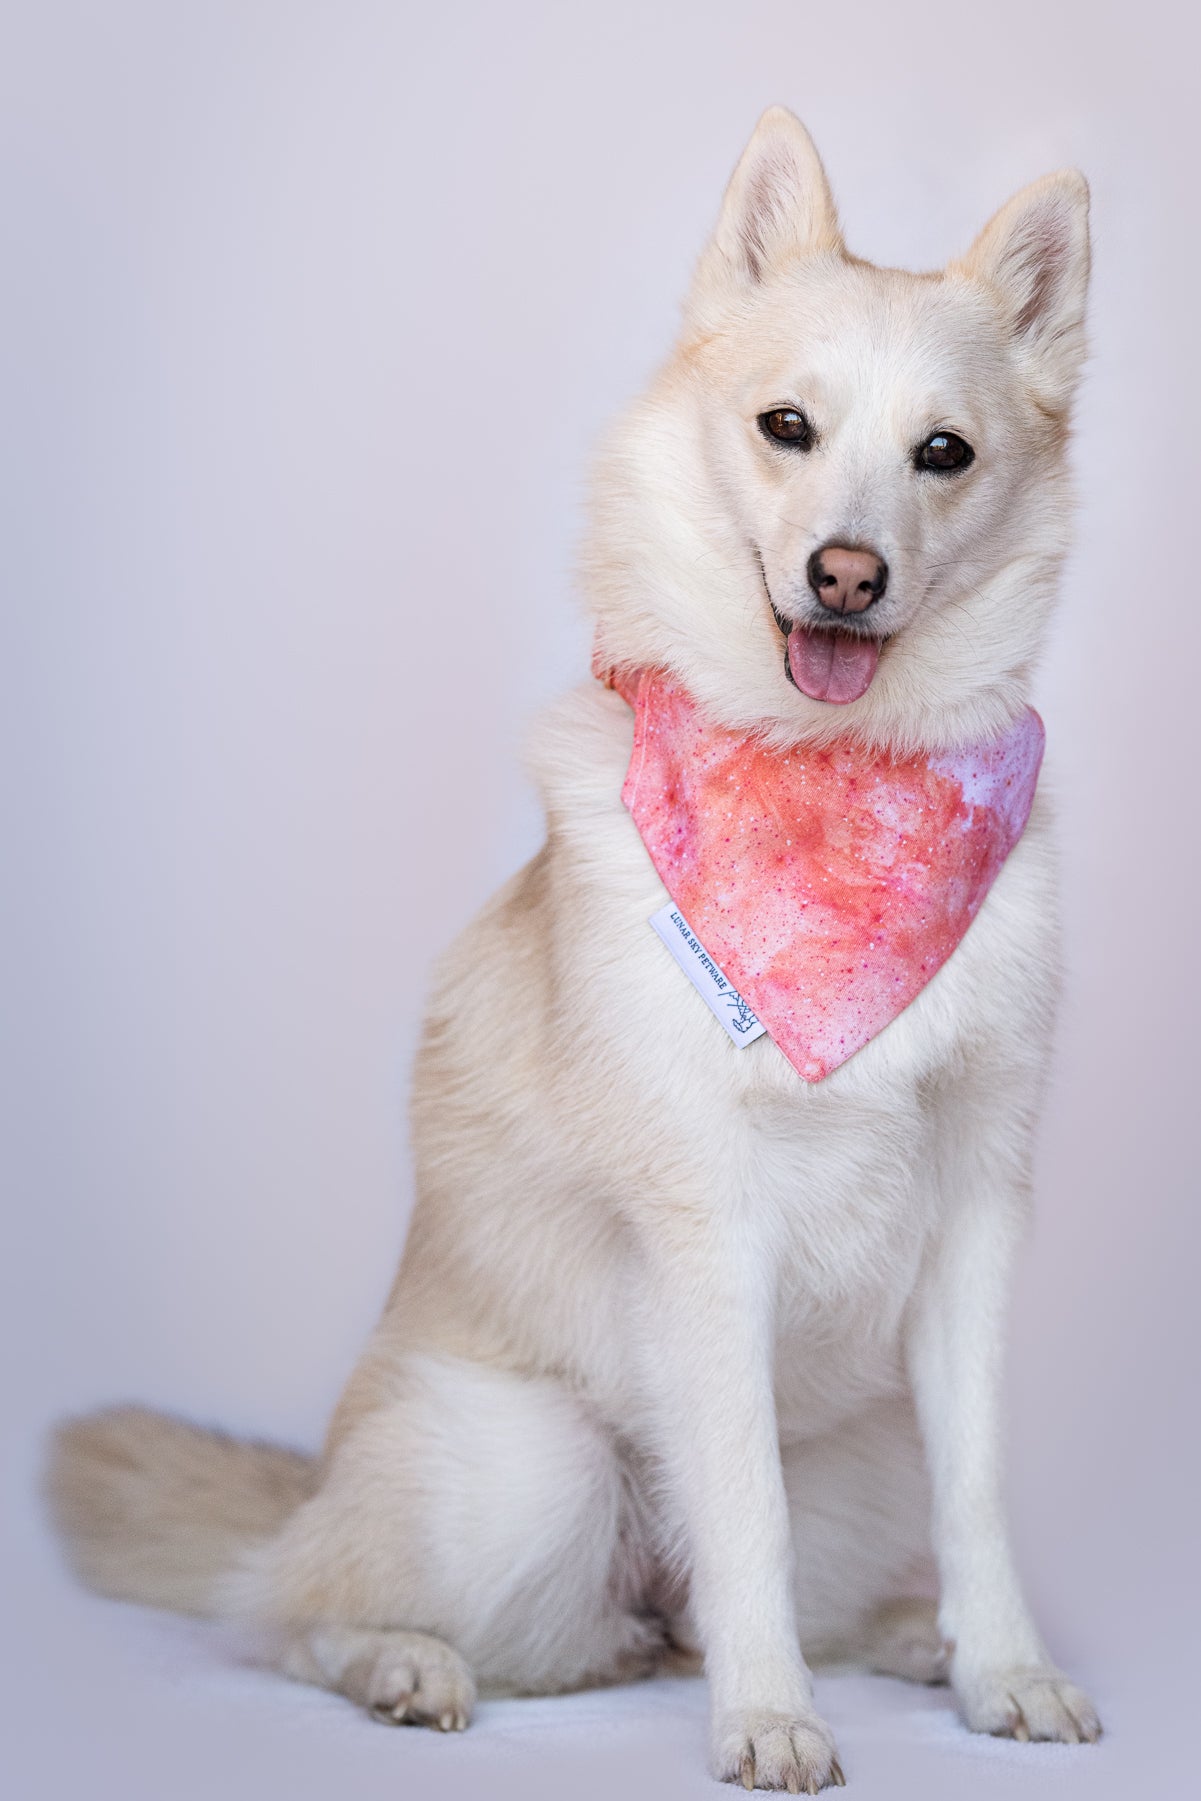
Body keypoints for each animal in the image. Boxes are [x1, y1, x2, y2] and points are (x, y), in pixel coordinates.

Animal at [47, 108, 1101, 1786]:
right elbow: (740, 1511)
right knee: (301, 1612)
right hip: (525, 1472)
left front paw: (1003, 1668)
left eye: (943, 453)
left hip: (856, 1463)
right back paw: (406, 1663)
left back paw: (910, 1642)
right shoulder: (707, 1229)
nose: (847, 573)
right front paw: (767, 1714)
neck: (823, 783)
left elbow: (978, 1493)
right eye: (786, 426)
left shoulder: (979, 1218)